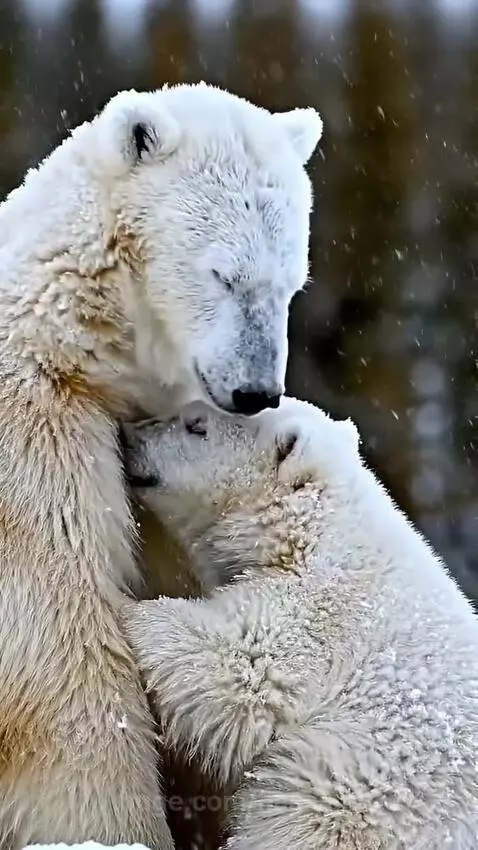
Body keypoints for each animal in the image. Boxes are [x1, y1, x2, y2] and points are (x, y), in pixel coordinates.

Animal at [122, 398, 478, 850]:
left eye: (196, 425)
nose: (127, 435)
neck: (316, 525)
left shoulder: (321, 610)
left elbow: (245, 670)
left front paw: (126, 609)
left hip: (366, 787)